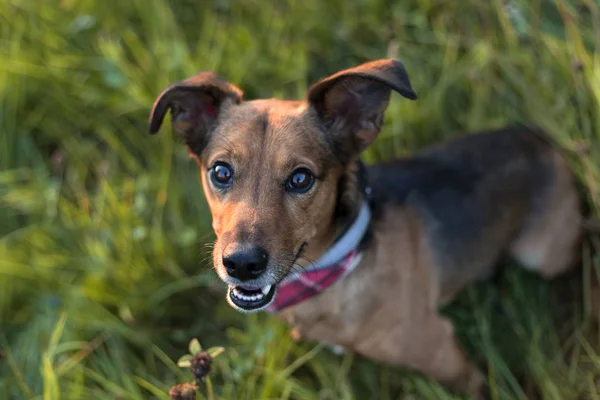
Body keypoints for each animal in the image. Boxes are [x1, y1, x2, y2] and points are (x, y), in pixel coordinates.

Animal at [148, 58, 584, 396]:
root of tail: (540, 140)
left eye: (301, 179)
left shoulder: (443, 351)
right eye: (220, 172)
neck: (340, 265)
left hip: (541, 255)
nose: (241, 264)